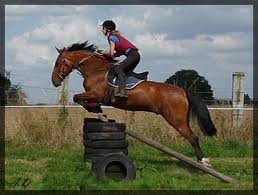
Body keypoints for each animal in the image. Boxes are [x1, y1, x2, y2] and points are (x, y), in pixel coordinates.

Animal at [51, 41, 217, 166]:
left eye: (58, 62)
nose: (54, 82)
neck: (95, 70)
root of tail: (183, 91)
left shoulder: (96, 94)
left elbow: (77, 98)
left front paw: (95, 109)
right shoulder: (94, 95)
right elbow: (78, 99)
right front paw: (96, 109)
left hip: (176, 120)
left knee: (193, 137)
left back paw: (203, 161)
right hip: (181, 119)